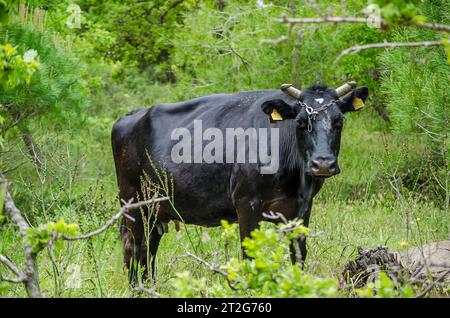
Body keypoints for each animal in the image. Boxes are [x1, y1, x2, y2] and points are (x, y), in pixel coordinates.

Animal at [111, 83, 370, 282]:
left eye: (339, 120)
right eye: (299, 122)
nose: (323, 164)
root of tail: (132, 115)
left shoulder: (302, 208)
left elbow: (298, 254)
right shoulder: (247, 204)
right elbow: (249, 255)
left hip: (156, 211)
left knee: (149, 248)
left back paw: (150, 286)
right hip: (132, 202)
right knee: (133, 246)